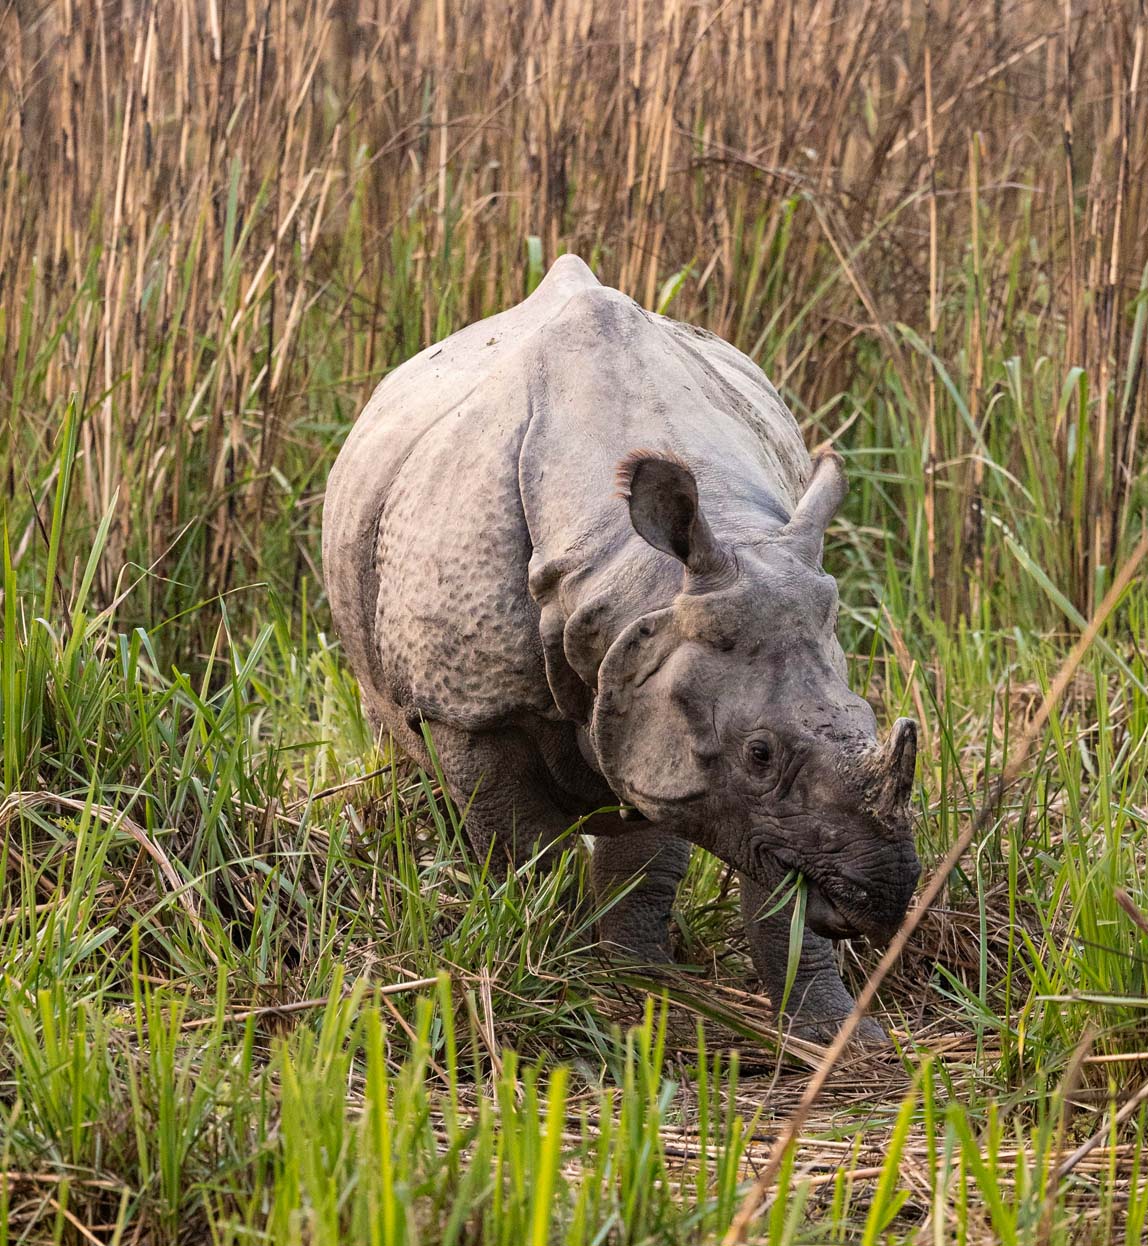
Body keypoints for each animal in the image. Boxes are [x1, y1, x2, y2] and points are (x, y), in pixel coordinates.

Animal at [323, 255, 920, 1043]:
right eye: (758, 752)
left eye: (871, 721)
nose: (881, 897)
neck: (628, 577)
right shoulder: (473, 708)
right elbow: (523, 848)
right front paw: (561, 973)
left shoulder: (665, 685)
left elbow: (733, 872)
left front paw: (822, 1031)